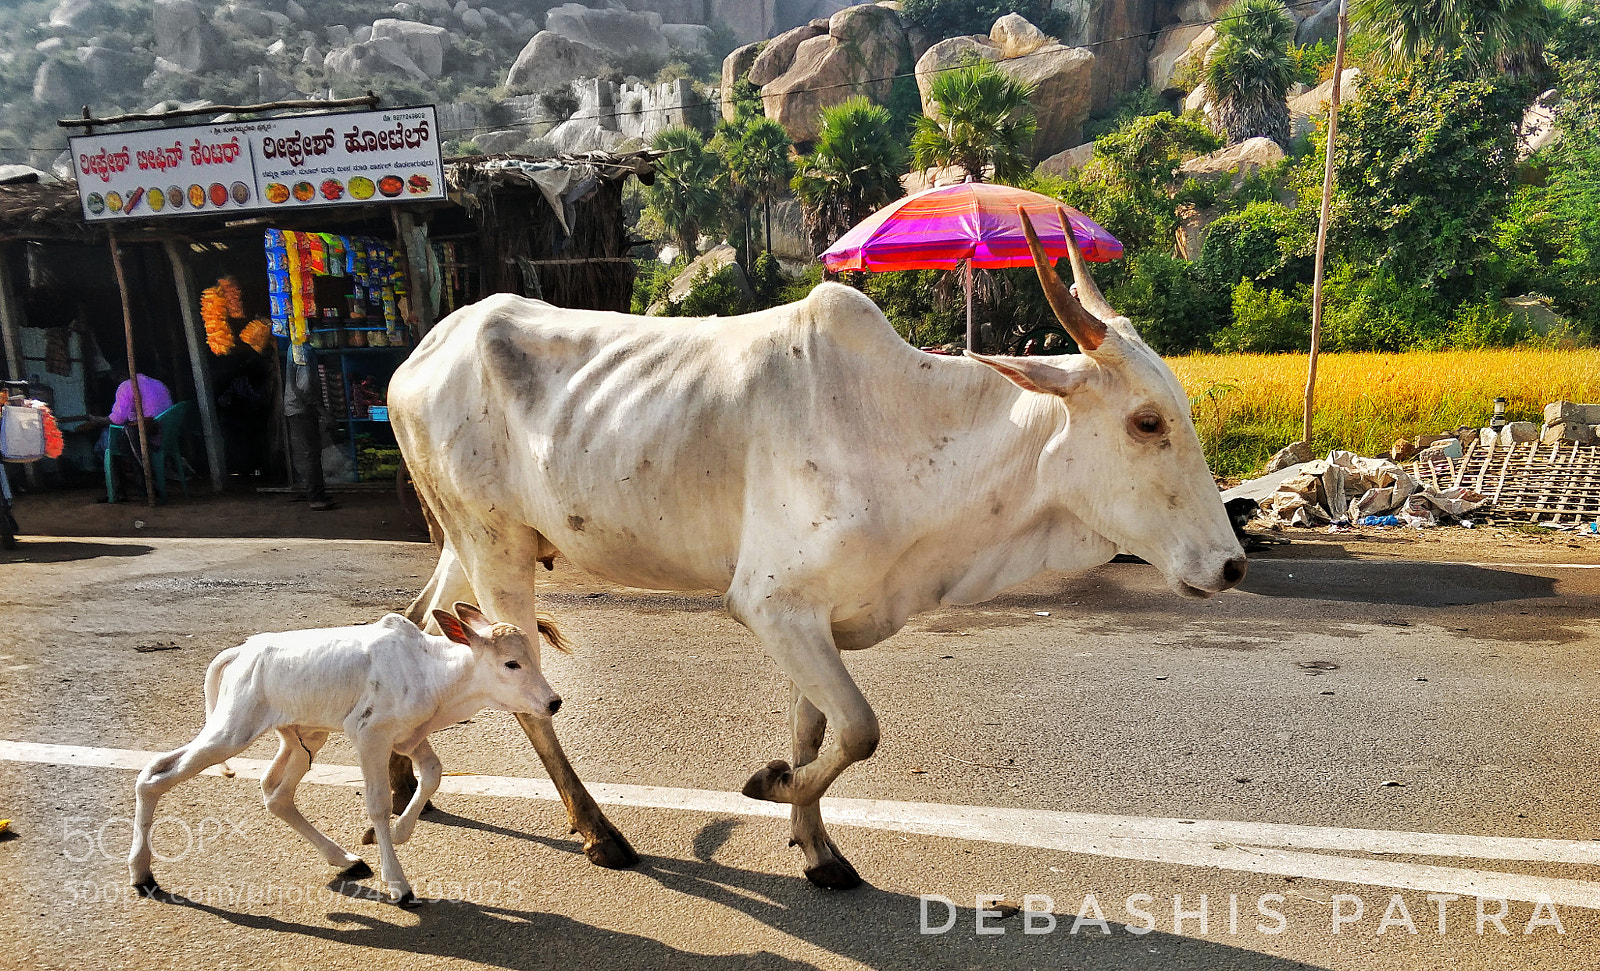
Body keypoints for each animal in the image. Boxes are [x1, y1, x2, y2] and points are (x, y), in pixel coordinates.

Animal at [128, 604, 567, 906]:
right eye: (511, 663)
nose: (553, 702)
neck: (430, 671)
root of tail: (243, 651)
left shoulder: (408, 737)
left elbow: (433, 773)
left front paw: (396, 833)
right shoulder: (370, 735)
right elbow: (377, 802)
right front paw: (399, 884)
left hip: (306, 738)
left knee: (276, 793)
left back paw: (345, 859)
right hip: (231, 733)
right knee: (154, 774)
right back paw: (142, 874)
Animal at [386, 208, 1247, 889]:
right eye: (1146, 421)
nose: (1232, 564)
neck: (905, 431)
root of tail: (422, 353)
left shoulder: (814, 617)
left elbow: (816, 730)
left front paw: (815, 841)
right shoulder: (771, 604)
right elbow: (860, 729)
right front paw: (772, 786)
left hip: (468, 543)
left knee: (422, 620)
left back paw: (396, 776)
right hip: (495, 546)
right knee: (520, 684)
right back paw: (601, 832)